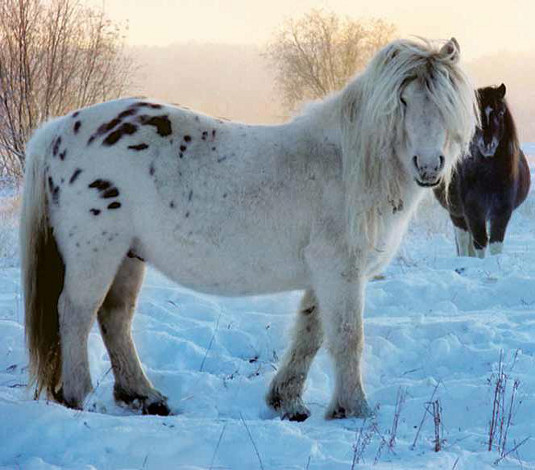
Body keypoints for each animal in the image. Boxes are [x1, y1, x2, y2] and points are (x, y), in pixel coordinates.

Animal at [21, 36, 478, 418]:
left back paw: (143, 396)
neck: (345, 165)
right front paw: (354, 409)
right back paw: (81, 398)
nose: (429, 167)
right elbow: (348, 337)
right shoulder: (340, 271)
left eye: (447, 103)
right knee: (76, 312)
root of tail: (58, 129)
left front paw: (287, 402)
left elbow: (311, 333)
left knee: (115, 318)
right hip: (95, 253)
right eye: (402, 101)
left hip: (128, 256)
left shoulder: (325, 275)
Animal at [436, 83, 532, 258]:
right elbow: (480, 244)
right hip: (457, 214)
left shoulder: (502, 212)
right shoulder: (474, 211)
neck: (489, 177)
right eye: (476, 115)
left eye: (500, 113)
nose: (488, 144)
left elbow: (495, 244)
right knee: (463, 239)